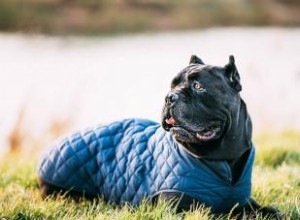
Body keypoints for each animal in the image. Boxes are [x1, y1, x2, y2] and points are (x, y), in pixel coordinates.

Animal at [37, 55, 282, 218]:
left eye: (198, 86)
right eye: (171, 85)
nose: (170, 97)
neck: (221, 158)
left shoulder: (242, 198)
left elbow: (261, 209)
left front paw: (271, 212)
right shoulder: (178, 208)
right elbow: (219, 213)